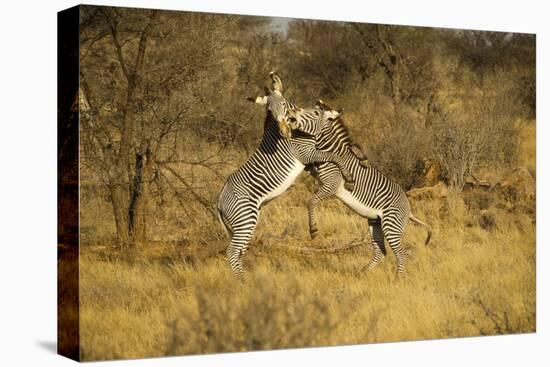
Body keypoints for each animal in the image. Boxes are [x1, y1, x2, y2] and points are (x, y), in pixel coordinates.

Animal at [220, 73, 358, 278]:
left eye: (284, 105)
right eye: (270, 110)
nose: (285, 131)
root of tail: (219, 201)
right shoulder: (306, 154)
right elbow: (334, 155)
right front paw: (348, 176)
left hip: (241, 224)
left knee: (237, 252)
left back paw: (243, 279)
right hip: (245, 218)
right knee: (231, 251)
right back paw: (242, 282)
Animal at [286, 102, 434, 274]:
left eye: (314, 113)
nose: (290, 112)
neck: (329, 149)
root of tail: (409, 208)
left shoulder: (332, 185)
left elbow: (311, 202)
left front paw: (313, 230)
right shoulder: (316, 169)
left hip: (391, 225)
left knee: (401, 254)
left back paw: (398, 278)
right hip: (375, 222)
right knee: (381, 252)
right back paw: (362, 273)